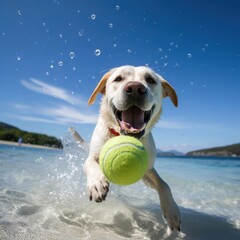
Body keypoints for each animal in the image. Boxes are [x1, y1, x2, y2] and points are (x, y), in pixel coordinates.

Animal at [84, 65, 180, 231]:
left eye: (150, 80)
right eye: (118, 79)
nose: (135, 88)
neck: (121, 135)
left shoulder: (147, 172)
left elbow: (164, 184)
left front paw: (172, 211)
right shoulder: (92, 156)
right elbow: (89, 164)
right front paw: (97, 183)